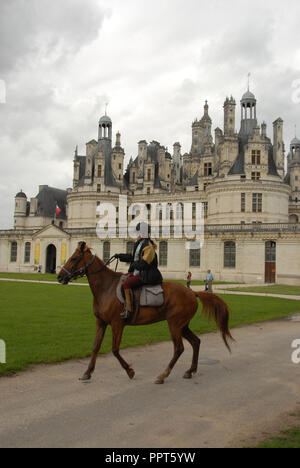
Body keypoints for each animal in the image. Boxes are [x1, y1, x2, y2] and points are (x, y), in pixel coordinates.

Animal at [56, 241, 234, 384]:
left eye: (74, 258)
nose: (59, 276)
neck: (106, 287)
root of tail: (192, 292)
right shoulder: (101, 322)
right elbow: (95, 347)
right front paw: (87, 373)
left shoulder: (117, 324)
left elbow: (115, 349)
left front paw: (130, 371)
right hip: (183, 325)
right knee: (196, 342)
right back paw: (190, 371)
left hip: (175, 324)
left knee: (179, 348)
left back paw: (163, 375)